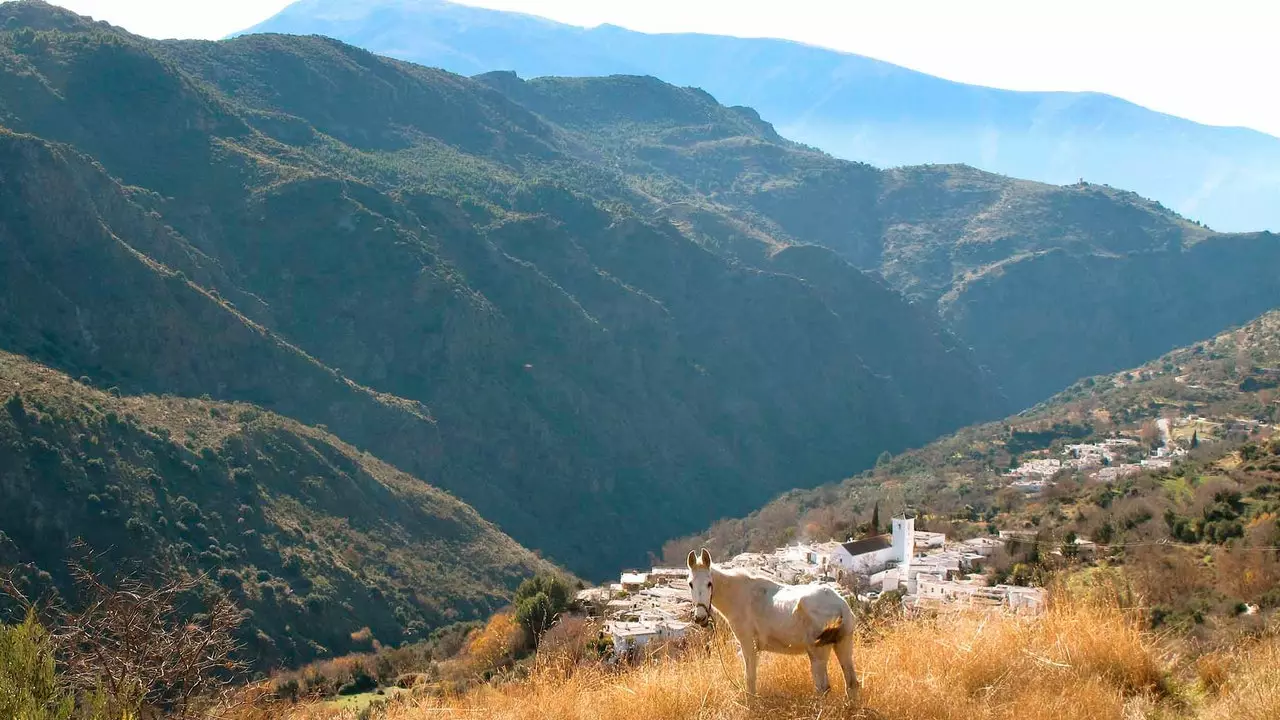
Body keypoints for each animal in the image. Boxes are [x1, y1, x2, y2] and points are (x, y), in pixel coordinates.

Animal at [686, 545, 855, 691]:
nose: (700, 618)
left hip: (817, 652)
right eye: (690, 584)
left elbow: (750, 680)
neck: (740, 596)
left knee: (823, 688)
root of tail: (840, 606)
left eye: (709, 583)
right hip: (843, 645)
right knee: (852, 684)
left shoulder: (748, 644)